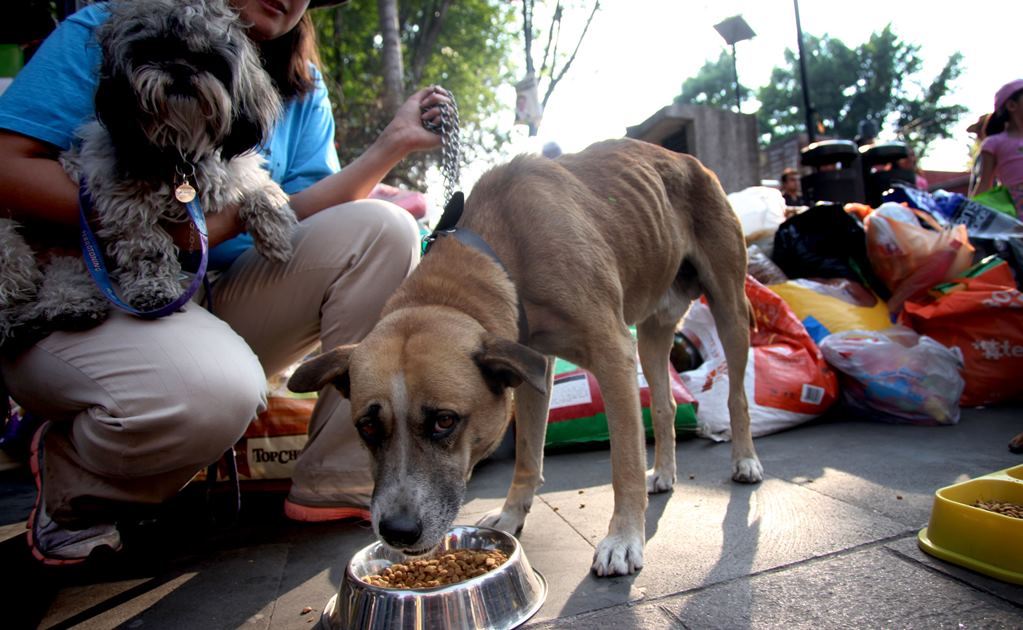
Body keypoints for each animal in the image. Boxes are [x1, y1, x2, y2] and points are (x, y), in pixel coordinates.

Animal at [0, 0, 296, 349]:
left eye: (208, 57)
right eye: (153, 50)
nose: (181, 69)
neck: (181, 154)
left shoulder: (238, 173)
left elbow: (263, 191)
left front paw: (276, 236)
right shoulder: (123, 203)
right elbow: (147, 247)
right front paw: (154, 289)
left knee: (64, 273)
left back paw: (71, 306)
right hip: (10, 244)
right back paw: (24, 321)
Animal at [288, 138, 761, 576]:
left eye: (444, 421)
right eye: (367, 426)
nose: (397, 533)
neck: (501, 252)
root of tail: (685, 160)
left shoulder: (613, 355)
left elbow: (624, 462)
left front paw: (624, 538)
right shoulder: (532, 367)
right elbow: (528, 456)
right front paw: (513, 513)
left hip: (730, 310)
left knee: (737, 395)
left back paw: (744, 460)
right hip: (651, 334)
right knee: (664, 406)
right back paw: (663, 472)